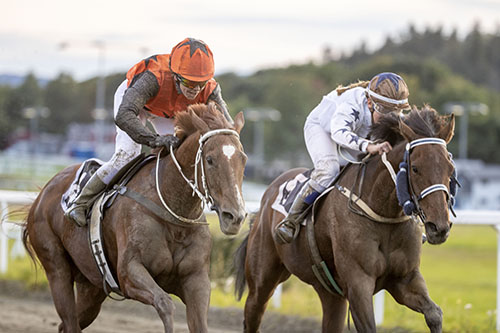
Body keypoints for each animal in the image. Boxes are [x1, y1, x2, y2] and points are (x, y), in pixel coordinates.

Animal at [23, 102, 248, 330]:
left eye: (243, 158)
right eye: (210, 159)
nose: (235, 216)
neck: (173, 214)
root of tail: (42, 194)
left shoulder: (196, 280)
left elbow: (200, 322)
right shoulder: (129, 274)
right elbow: (165, 303)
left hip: (92, 287)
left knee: (68, 324)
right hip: (57, 270)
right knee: (68, 319)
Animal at [232, 107, 456, 332]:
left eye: (451, 168)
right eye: (415, 168)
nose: (439, 227)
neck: (383, 214)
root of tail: (266, 196)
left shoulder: (404, 278)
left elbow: (434, 314)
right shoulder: (358, 283)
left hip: (330, 292)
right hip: (262, 281)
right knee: (253, 313)